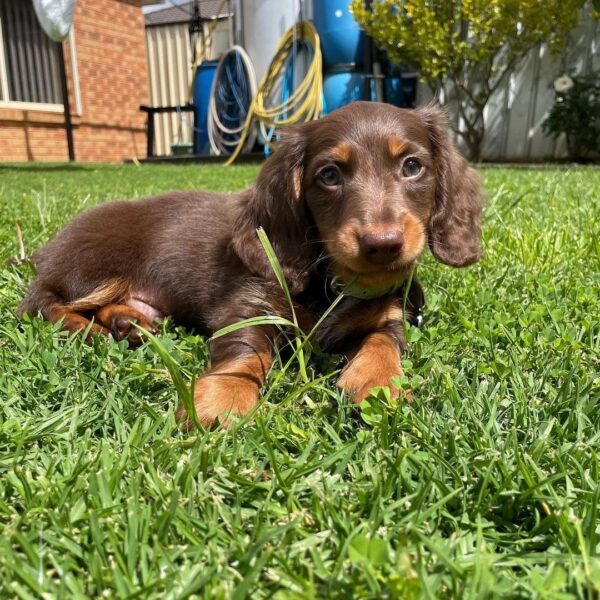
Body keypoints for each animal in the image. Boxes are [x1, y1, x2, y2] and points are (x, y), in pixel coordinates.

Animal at [17, 102, 482, 426]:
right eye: (330, 175)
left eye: (412, 166)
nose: (382, 244)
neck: (332, 283)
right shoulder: (246, 306)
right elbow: (245, 354)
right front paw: (221, 398)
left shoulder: (390, 314)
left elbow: (384, 342)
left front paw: (379, 382)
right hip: (96, 267)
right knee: (42, 304)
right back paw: (90, 330)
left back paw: (128, 323)